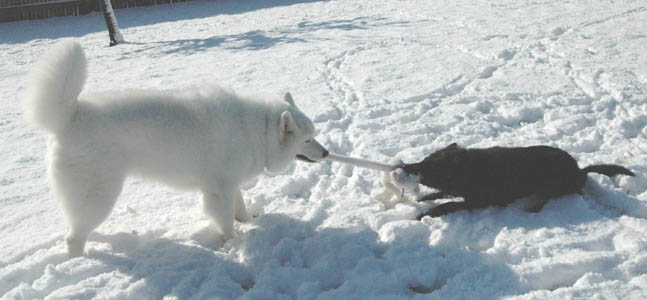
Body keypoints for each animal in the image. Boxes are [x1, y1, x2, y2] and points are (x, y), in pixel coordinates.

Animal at [24, 38, 330, 256]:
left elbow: (239, 206)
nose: (327, 153)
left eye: (314, 135)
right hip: (99, 196)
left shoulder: (230, 184)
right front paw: (233, 242)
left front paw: (247, 221)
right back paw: (80, 260)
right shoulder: (218, 190)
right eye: (307, 140)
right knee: (73, 238)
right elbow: (225, 221)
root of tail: (71, 115)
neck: (254, 130)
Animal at [402, 143, 636, 218]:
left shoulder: (478, 201)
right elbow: (439, 194)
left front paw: (425, 214)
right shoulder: (460, 191)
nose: (405, 166)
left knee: (550, 197)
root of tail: (580, 170)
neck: (469, 170)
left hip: (554, 185)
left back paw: (532, 208)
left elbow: (448, 204)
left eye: (428, 166)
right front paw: (423, 200)